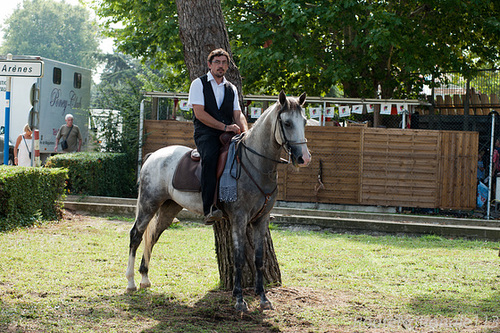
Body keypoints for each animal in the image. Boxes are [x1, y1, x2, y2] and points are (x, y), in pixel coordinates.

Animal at [126, 89, 308, 310]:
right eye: (287, 123)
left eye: (304, 122)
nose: (304, 158)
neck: (254, 163)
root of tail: (153, 156)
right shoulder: (239, 218)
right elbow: (239, 259)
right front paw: (239, 299)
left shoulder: (261, 219)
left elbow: (259, 259)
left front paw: (263, 298)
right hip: (148, 204)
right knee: (136, 235)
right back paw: (131, 282)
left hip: (169, 208)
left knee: (152, 236)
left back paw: (145, 278)